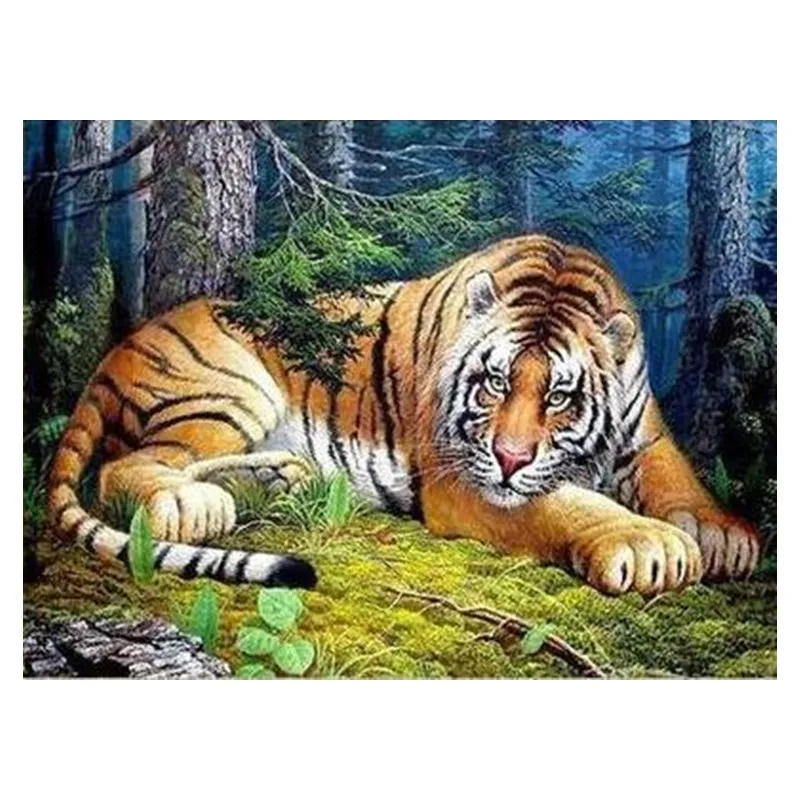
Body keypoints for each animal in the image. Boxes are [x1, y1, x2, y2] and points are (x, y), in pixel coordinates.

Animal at [46, 235, 761, 595]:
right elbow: (567, 503)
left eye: (559, 396)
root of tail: (115, 351)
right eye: (494, 383)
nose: (509, 458)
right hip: (229, 386)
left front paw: (724, 535)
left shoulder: (646, 433)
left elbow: (676, 477)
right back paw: (197, 504)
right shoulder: (464, 478)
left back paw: (278, 479)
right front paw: (647, 544)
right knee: (126, 468)